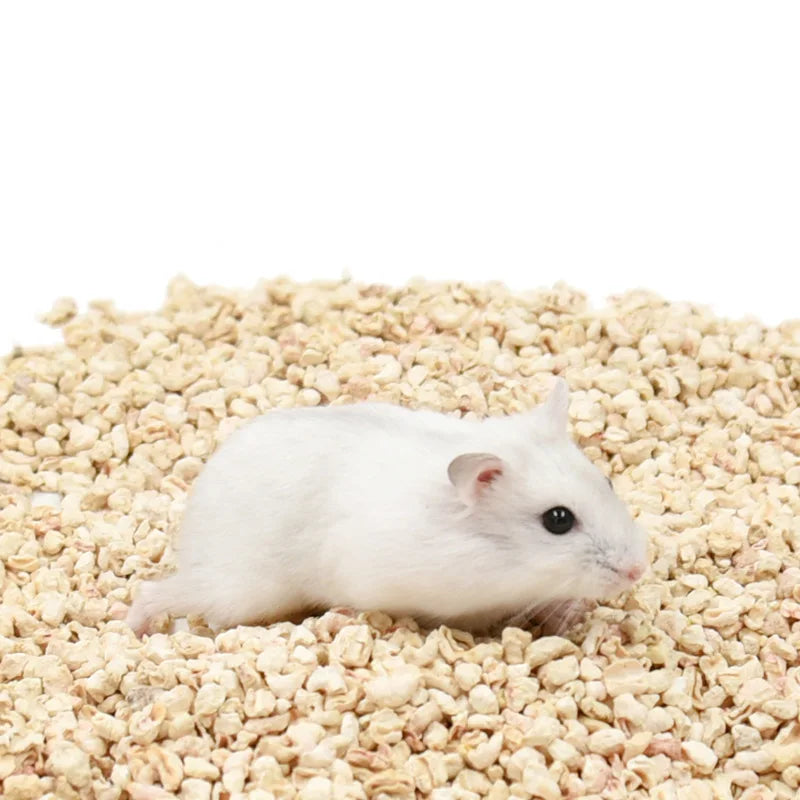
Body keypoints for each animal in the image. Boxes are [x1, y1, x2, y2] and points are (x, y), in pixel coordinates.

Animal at [126, 378, 648, 636]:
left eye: (606, 481)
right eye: (557, 520)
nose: (638, 571)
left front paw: (575, 614)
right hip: (241, 590)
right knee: (160, 592)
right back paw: (135, 628)